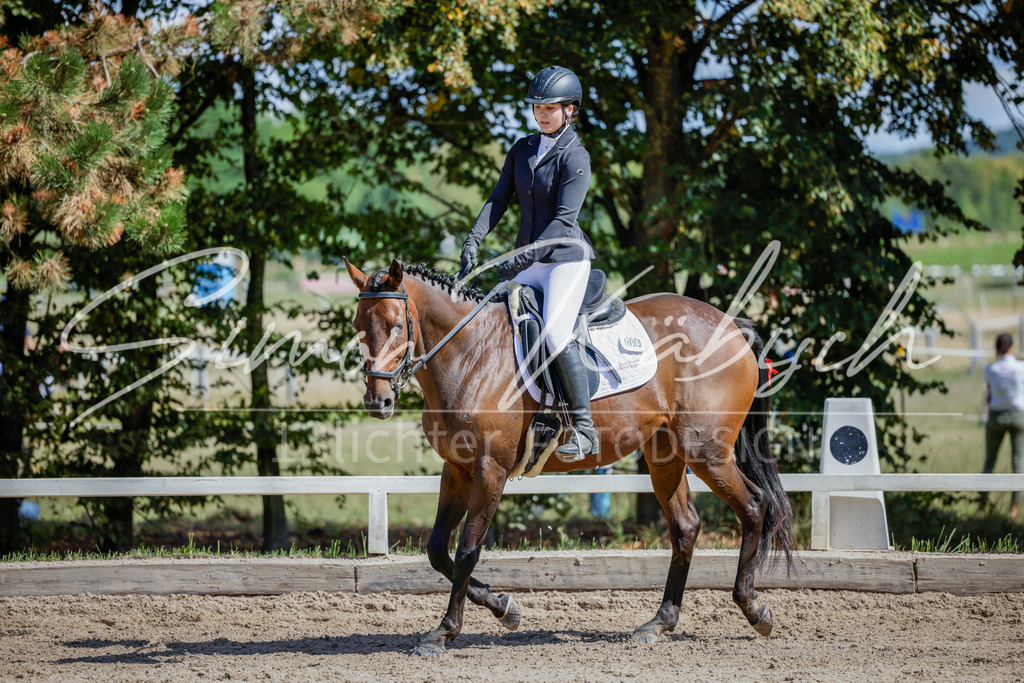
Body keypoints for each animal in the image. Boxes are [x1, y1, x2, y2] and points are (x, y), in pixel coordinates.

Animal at [344, 257, 794, 657]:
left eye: (397, 325)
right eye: (358, 328)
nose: (377, 402)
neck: (468, 354)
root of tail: (732, 325)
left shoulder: (491, 470)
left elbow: (468, 550)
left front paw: (445, 632)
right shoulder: (457, 469)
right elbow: (438, 550)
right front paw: (504, 607)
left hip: (706, 453)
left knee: (755, 506)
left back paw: (754, 608)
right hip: (665, 454)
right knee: (685, 526)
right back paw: (659, 623)